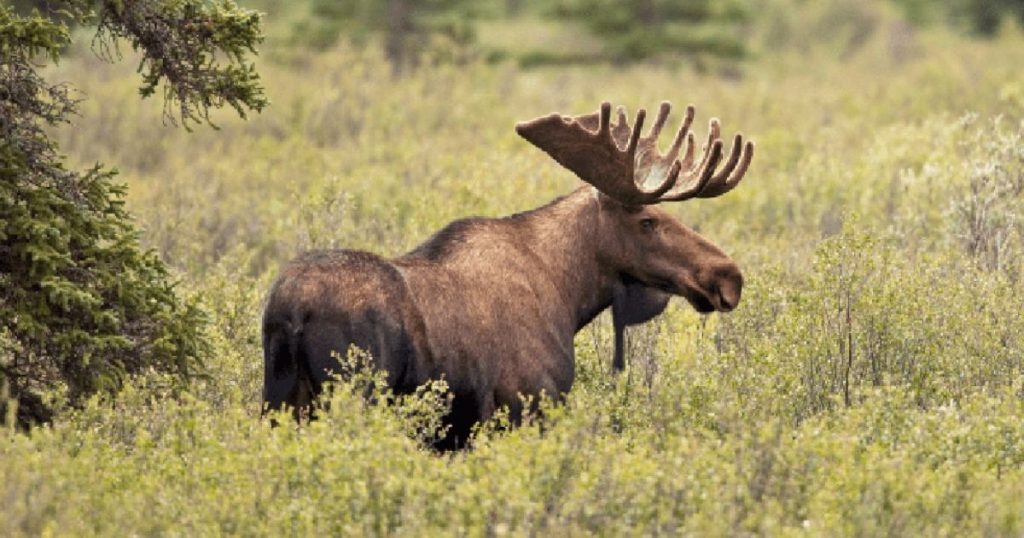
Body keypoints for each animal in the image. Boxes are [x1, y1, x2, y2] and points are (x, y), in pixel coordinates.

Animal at [260, 98, 757, 446]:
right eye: (648, 221)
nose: (727, 276)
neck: (568, 295)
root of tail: (291, 312)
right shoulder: (527, 404)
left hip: (278, 400)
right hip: (351, 395)